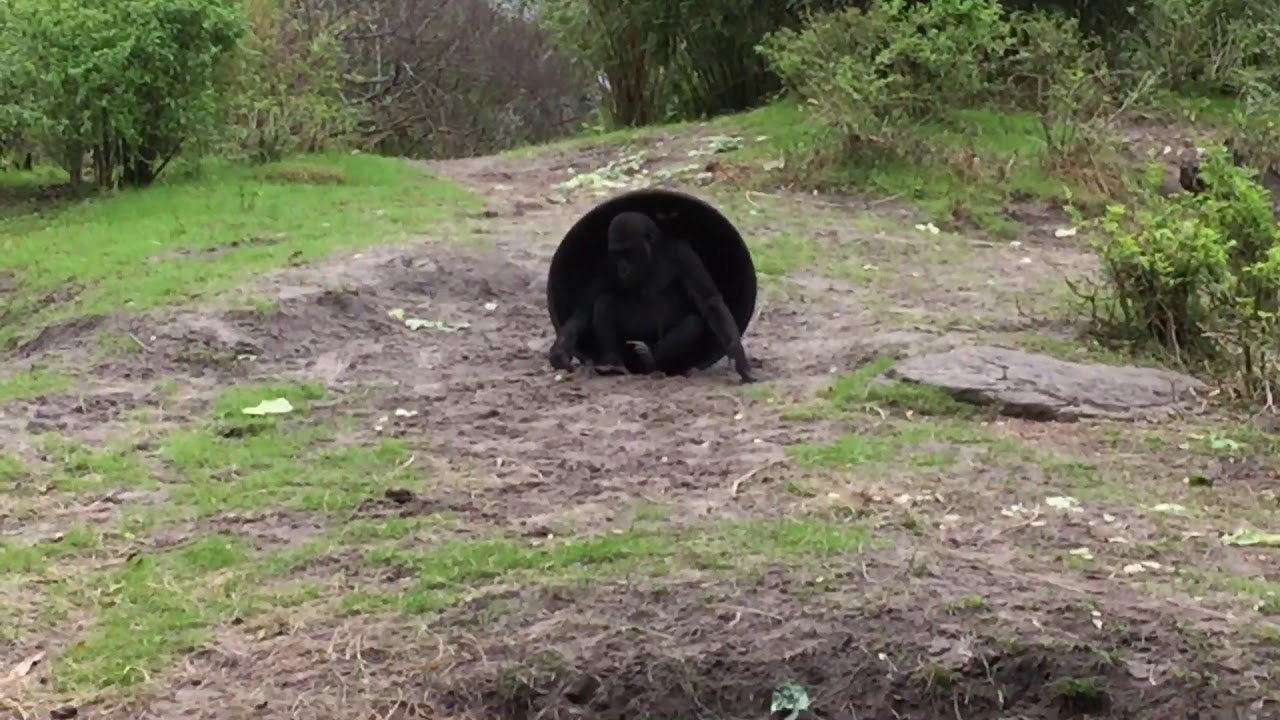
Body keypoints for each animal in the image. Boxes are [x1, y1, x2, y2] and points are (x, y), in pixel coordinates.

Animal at [548, 211, 757, 384]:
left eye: (628, 252)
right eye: (617, 253)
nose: (623, 268)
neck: (651, 258)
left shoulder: (683, 254)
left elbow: (709, 300)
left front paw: (739, 357)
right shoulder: (606, 264)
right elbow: (586, 307)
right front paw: (560, 350)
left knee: (693, 323)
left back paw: (651, 358)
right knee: (604, 303)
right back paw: (612, 363)